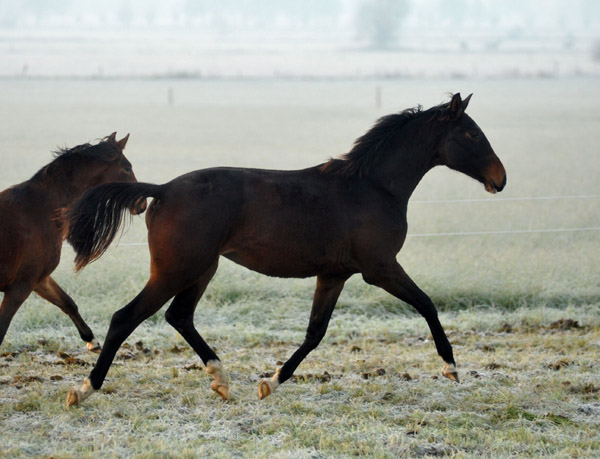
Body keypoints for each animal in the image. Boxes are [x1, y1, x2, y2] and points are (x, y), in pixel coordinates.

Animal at [0, 133, 144, 352]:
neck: (40, 210)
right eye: (127, 168)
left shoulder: (39, 280)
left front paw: (92, 341)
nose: (142, 204)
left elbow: (67, 303)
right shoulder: (20, 286)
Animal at [65, 93, 506, 406]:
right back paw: (83, 390)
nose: (500, 178)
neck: (372, 187)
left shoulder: (334, 274)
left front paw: (270, 383)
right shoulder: (380, 268)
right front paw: (451, 367)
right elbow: (427, 304)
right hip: (176, 269)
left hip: (202, 269)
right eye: (471, 134)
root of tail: (161, 190)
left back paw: (221, 380)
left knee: (179, 316)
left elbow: (314, 333)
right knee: (126, 318)